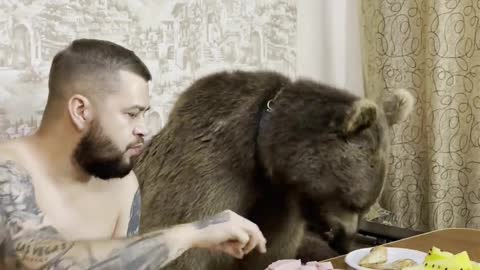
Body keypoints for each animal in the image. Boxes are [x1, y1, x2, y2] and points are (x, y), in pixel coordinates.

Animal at [133, 70, 414, 270]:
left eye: (366, 206)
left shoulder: (278, 201)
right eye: (354, 202)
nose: (344, 239)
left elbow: (270, 251)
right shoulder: (208, 175)